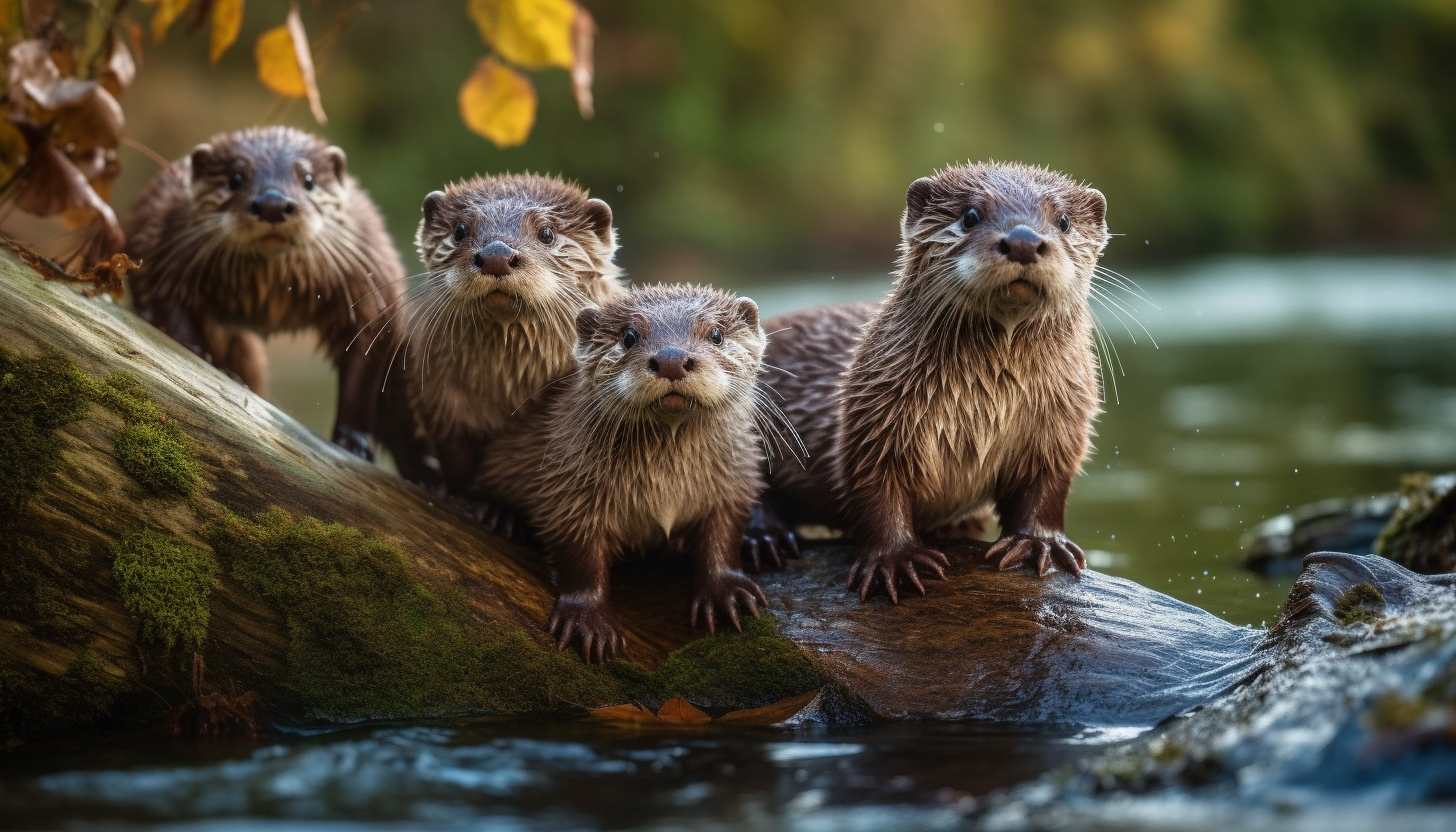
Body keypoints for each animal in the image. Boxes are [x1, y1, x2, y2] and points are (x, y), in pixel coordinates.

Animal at [125, 126, 407, 460]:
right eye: (235, 178)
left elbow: (364, 364)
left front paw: (353, 442)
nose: (273, 203)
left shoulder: (371, 285)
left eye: (308, 179)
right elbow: (167, 300)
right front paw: (198, 352)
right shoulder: (164, 243)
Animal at [393, 174, 626, 495]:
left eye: (546, 233)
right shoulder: (441, 404)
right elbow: (457, 459)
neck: (510, 391)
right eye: (460, 230)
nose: (496, 255)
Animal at [477, 287, 774, 664]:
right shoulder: (567, 487)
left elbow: (723, 536)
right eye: (629, 336)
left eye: (717, 334)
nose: (672, 359)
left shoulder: (733, 481)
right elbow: (579, 556)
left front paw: (727, 592)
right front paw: (589, 620)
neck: (666, 486)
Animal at [757, 161, 1106, 600]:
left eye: (1063, 220)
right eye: (970, 215)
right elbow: (876, 488)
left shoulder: (1062, 423)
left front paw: (1039, 542)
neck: (989, 401)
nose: (1024, 240)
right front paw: (894, 559)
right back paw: (764, 537)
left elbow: (1045, 486)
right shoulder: (874, 418)